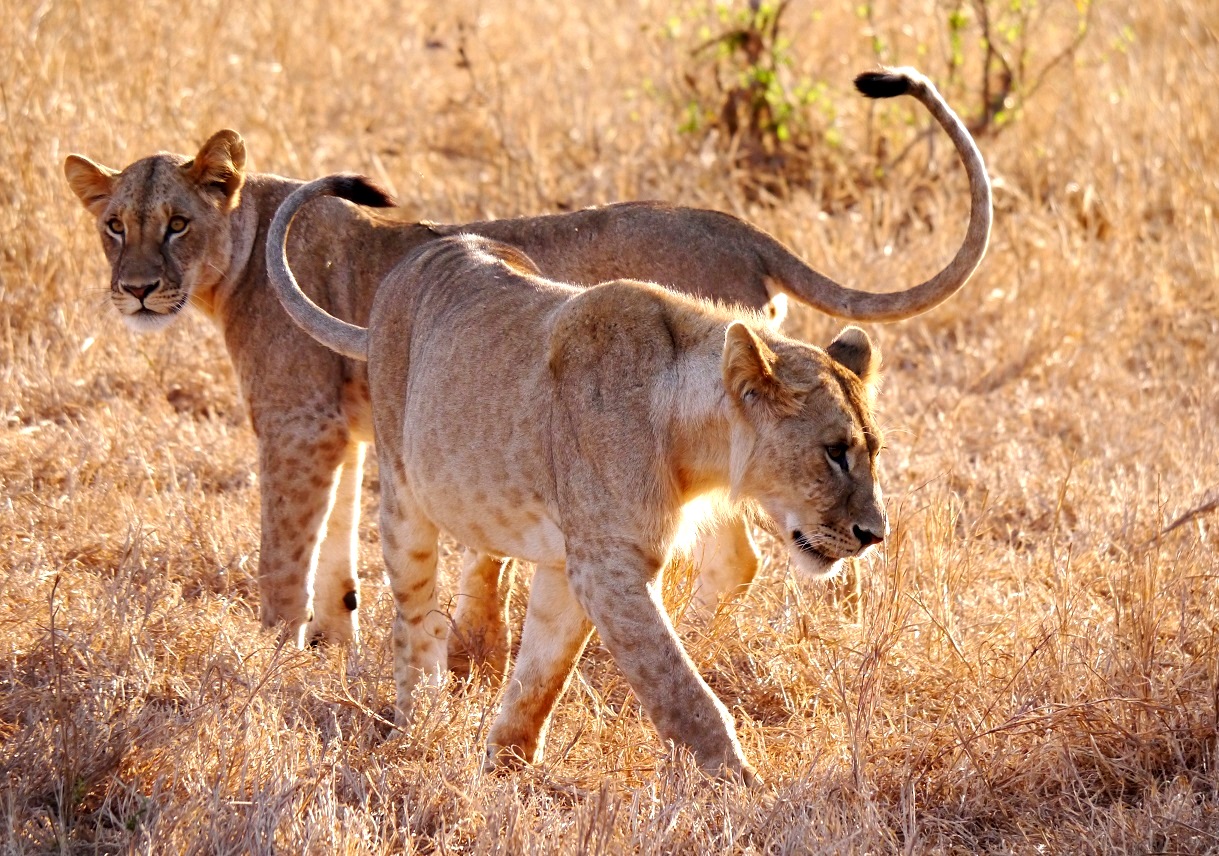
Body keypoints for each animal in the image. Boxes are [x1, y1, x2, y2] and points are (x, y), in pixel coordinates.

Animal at [63, 67, 989, 666]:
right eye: (115, 225)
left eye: (177, 223)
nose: (136, 290)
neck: (249, 242)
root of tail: (737, 227)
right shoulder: (346, 429)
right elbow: (335, 549)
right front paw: (334, 643)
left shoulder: (298, 424)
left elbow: (284, 547)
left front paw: (272, 652)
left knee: (736, 558)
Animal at [265, 181, 887, 780]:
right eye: (834, 452)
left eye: (873, 450)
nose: (874, 535)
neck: (690, 436)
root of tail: (400, 278)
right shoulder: (609, 565)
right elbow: (679, 690)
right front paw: (741, 789)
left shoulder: (572, 565)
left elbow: (543, 671)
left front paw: (509, 769)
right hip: (401, 494)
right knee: (413, 618)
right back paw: (416, 725)